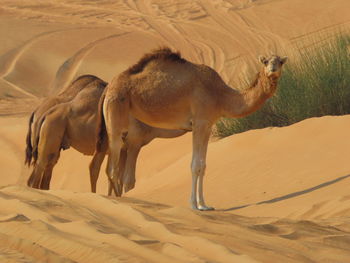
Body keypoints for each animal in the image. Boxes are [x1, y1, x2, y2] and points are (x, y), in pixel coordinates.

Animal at [25, 75, 186, 194]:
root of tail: (41, 113)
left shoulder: (123, 148)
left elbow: (117, 176)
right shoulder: (134, 143)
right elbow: (128, 180)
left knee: (49, 168)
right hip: (50, 137)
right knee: (39, 170)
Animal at [98, 47, 288, 211]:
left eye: (280, 62)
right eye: (265, 61)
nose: (272, 69)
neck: (221, 96)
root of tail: (108, 87)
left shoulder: (208, 125)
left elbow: (203, 165)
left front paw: (205, 205)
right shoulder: (199, 122)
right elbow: (195, 165)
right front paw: (194, 205)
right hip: (116, 114)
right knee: (112, 168)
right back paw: (119, 200)